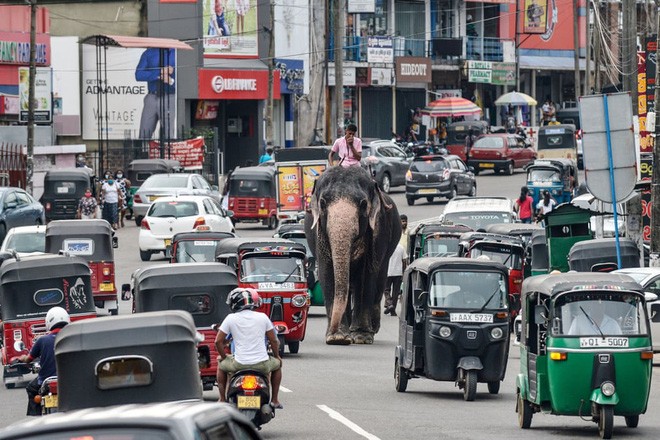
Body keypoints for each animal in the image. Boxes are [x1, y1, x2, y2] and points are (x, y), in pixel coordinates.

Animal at [304, 165, 402, 344]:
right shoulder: (319, 233)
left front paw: (361, 337)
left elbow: (366, 274)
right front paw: (337, 338)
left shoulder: (378, 229)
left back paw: (371, 328)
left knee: (379, 278)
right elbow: (327, 272)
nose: (333, 330)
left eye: (363, 204)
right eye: (322, 203)